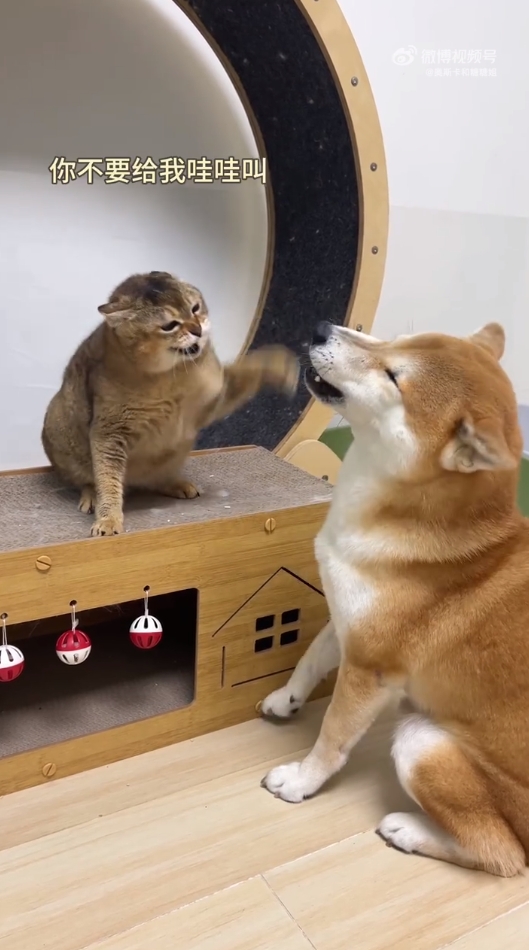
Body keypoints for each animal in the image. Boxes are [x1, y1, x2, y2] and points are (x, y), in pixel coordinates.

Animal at [42, 270, 299, 537]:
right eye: (169, 325)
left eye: (195, 308)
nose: (198, 329)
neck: (173, 375)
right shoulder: (109, 432)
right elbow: (108, 478)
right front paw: (108, 520)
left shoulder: (213, 399)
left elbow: (249, 372)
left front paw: (281, 365)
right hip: (59, 427)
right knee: (88, 479)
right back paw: (91, 497)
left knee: (154, 480)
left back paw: (176, 484)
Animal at [260, 320, 529, 878]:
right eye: (394, 344)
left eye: (393, 376)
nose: (321, 327)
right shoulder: (346, 619)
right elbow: (309, 659)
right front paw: (286, 699)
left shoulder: (371, 668)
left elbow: (333, 737)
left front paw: (301, 781)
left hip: (421, 742)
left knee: (504, 854)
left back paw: (409, 829)